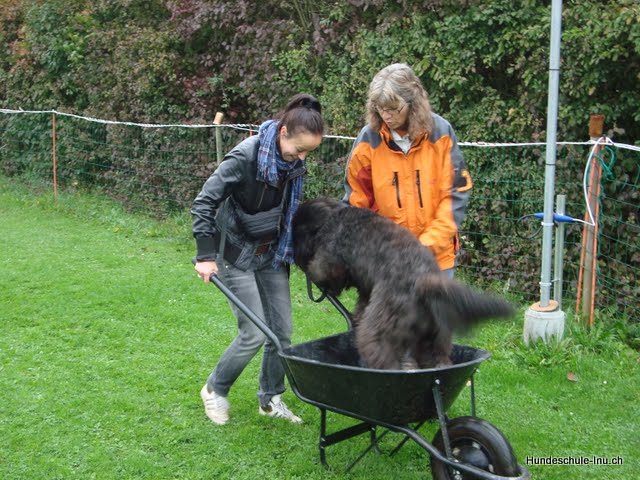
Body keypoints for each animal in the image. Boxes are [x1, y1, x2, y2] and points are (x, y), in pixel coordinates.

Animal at [292, 197, 515, 370]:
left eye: (298, 230)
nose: (292, 253)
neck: (333, 216)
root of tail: (424, 281)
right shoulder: (366, 288)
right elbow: (362, 301)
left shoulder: (330, 257)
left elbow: (324, 271)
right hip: (435, 336)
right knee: (437, 358)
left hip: (380, 330)